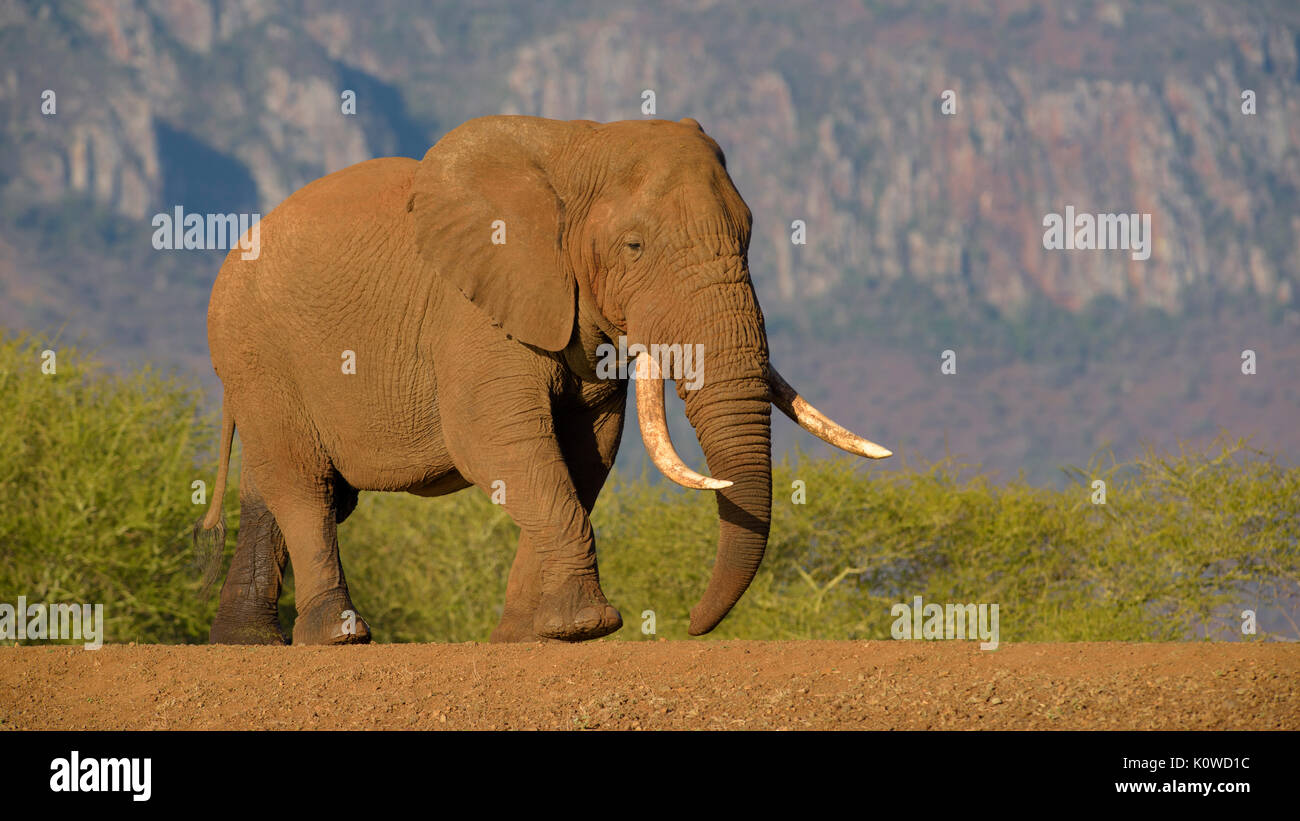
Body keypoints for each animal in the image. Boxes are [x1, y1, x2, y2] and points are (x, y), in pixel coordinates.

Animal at [197, 115, 889, 644]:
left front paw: (530, 637)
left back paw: (246, 644)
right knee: (303, 487)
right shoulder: (474, 309)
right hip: (255, 352)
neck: (576, 147)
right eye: (634, 246)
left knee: (272, 488)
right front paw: (586, 626)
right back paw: (338, 637)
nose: (692, 624)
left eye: (748, 237)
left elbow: (585, 454)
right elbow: (498, 442)